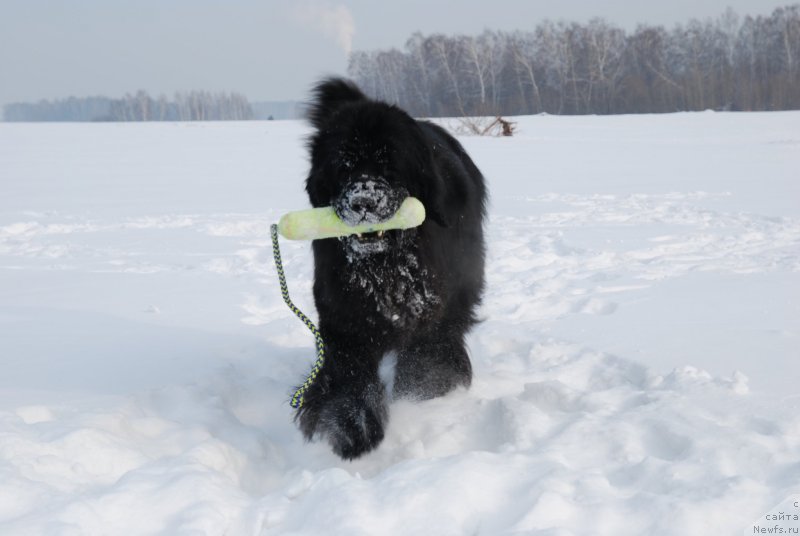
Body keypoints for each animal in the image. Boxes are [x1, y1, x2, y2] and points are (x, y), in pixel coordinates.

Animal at [296, 77, 488, 458]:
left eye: (390, 167)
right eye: (343, 167)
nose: (363, 202)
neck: (385, 269)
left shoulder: (433, 313)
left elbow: (426, 359)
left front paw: (420, 398)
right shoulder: (342, 316)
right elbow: (349, 373)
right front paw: (354, 428)